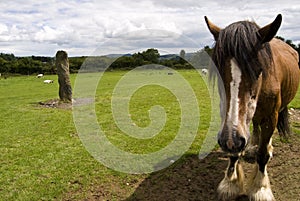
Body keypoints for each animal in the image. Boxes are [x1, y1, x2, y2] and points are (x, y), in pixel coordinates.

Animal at [205, 14, 298, 201]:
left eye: (258, 70)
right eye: (218, 71)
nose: (231, 140)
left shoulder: (270, 117)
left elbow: (262, 156)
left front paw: (260, 188)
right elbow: (234, 152)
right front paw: (230, 182)